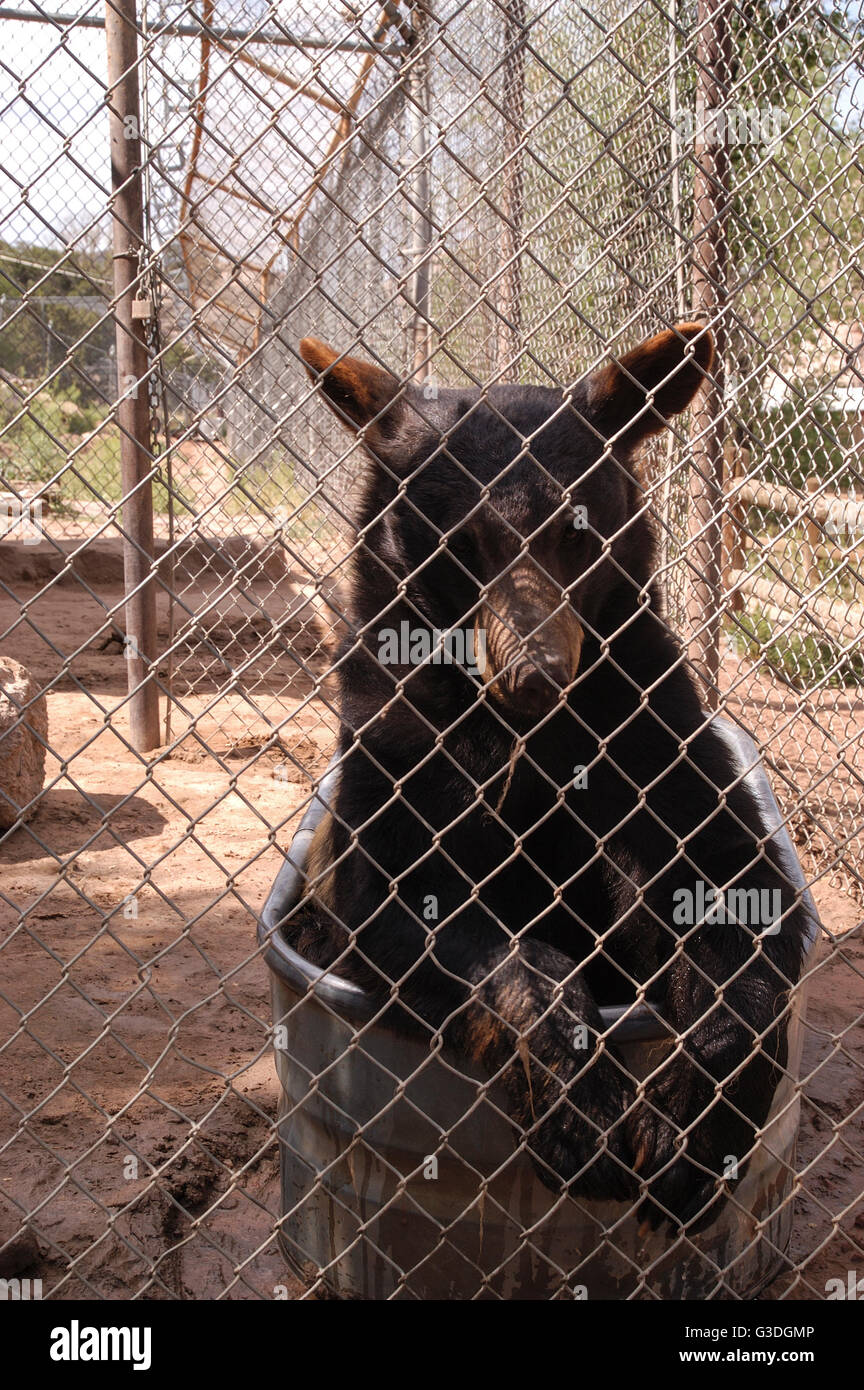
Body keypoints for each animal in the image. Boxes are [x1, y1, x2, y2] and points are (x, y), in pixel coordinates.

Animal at [291, 325, 811, 1228]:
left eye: (579, 533)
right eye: (462, 542)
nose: (535, 676)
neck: (524, 736)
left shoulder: (644, 716)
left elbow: (731, 880)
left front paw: (696, 1129)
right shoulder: (397, 739)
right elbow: (420, 907)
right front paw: (581, 1114)